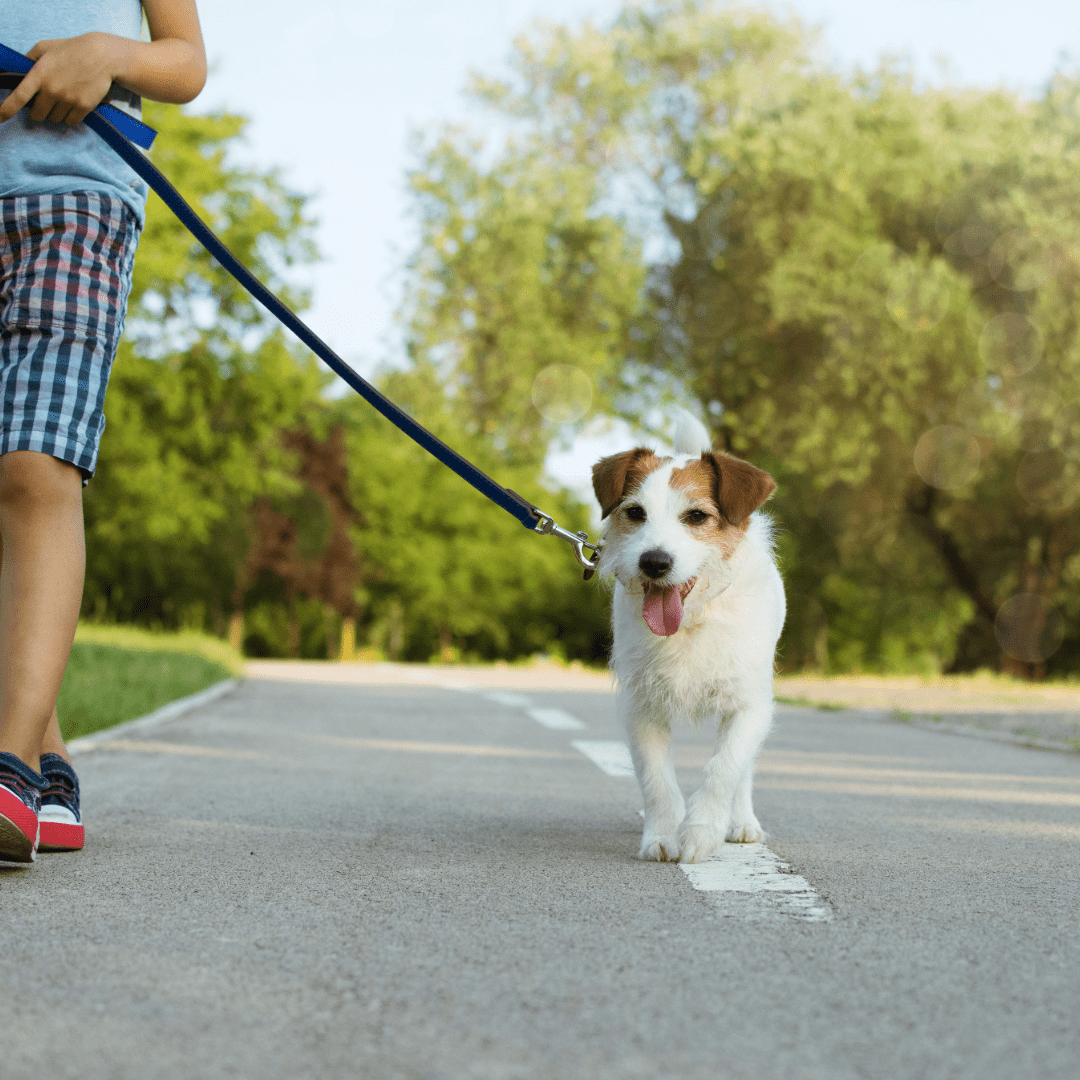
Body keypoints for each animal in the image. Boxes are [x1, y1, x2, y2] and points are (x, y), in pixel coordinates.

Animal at [591, 408, 786, 864]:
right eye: (635, 513)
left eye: (696, 517)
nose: (654, 562)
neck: (694, 619)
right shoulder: (641, 708)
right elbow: (656, 778)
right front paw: (662, 836)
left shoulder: (749, 705)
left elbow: (725, 769)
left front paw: (701, 833)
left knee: (744, 771)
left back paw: (741, 822)